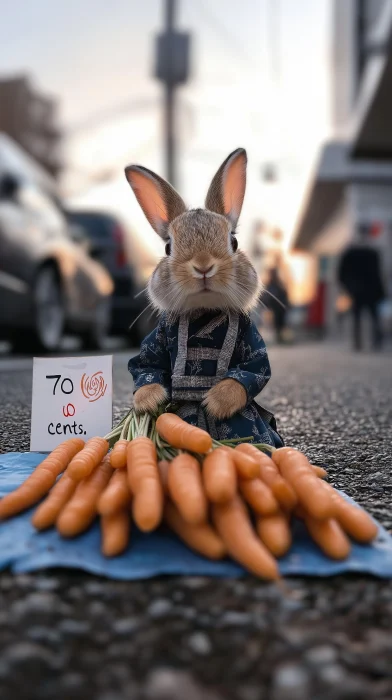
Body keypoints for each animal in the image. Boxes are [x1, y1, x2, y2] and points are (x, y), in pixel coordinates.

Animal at [125, 148, 282, 446]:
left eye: (233, 242)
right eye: (168, 247)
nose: (203, 265)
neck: (204, 312)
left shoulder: (250, 340)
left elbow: (254, 369)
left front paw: (215, 403)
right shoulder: (157, 338)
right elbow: (146, 365)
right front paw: (149, 402)